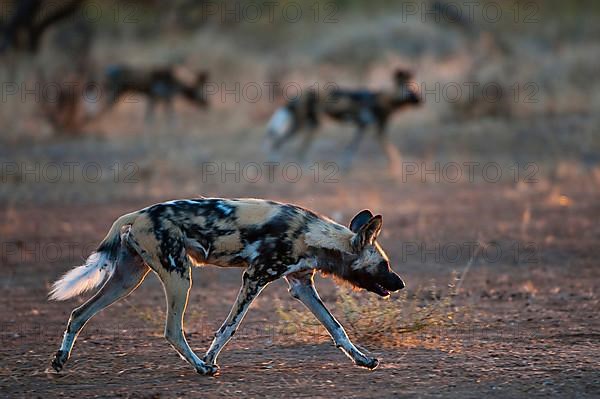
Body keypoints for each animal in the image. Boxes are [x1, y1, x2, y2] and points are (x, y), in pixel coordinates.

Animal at [49, 198, 406, 376]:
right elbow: (228, 327)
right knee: (171, 330)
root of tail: (136, 214)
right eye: (385, 265)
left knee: (79, 313)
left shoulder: (301, 285)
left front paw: (363, 359)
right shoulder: (255, 278)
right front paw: (211, 356)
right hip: (179, 276)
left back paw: (59, 361)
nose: (401, 283)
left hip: (128, 280)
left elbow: (337, 328)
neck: (313, 235)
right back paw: (201, 367)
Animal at [268, 69, 422, 172]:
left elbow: (352, 149)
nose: (420, 100)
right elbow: (382, 149)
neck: (383, 99)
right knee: (281, 144)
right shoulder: (368, 127)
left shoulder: (364, 127)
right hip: (309, 125)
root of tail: (300, 94)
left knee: (287, 145)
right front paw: (395, 166)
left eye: (416, 87)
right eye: (410, 90)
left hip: (304, 125)